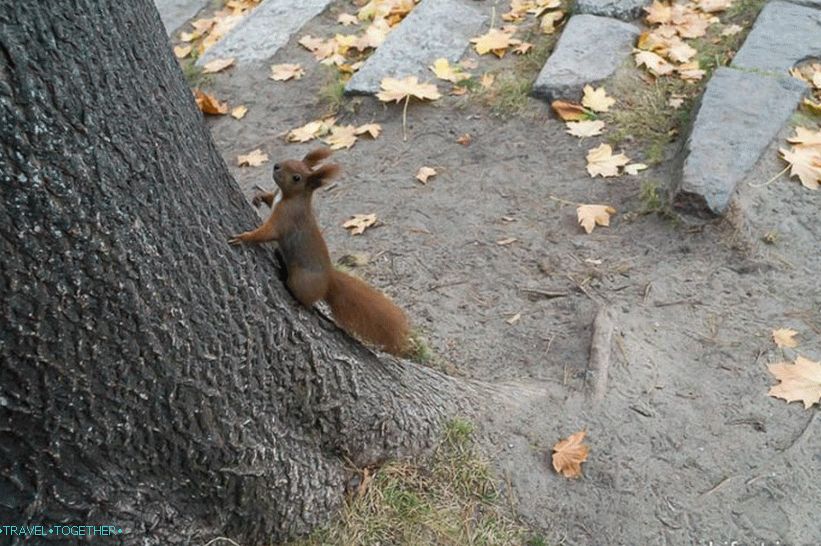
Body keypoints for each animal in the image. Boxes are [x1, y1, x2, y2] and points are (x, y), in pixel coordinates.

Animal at [229, 148, 411, 356]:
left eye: (297, 177)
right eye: (294, 159)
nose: (276, 166)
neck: (287, 197)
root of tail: (329, 279)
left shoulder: (286, 219)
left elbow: (267, 233)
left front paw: (244, 237)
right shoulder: (276, 198)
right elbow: (269, 198)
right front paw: (258, 197)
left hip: (301, 281)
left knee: (307, 300)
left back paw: (297, 301)